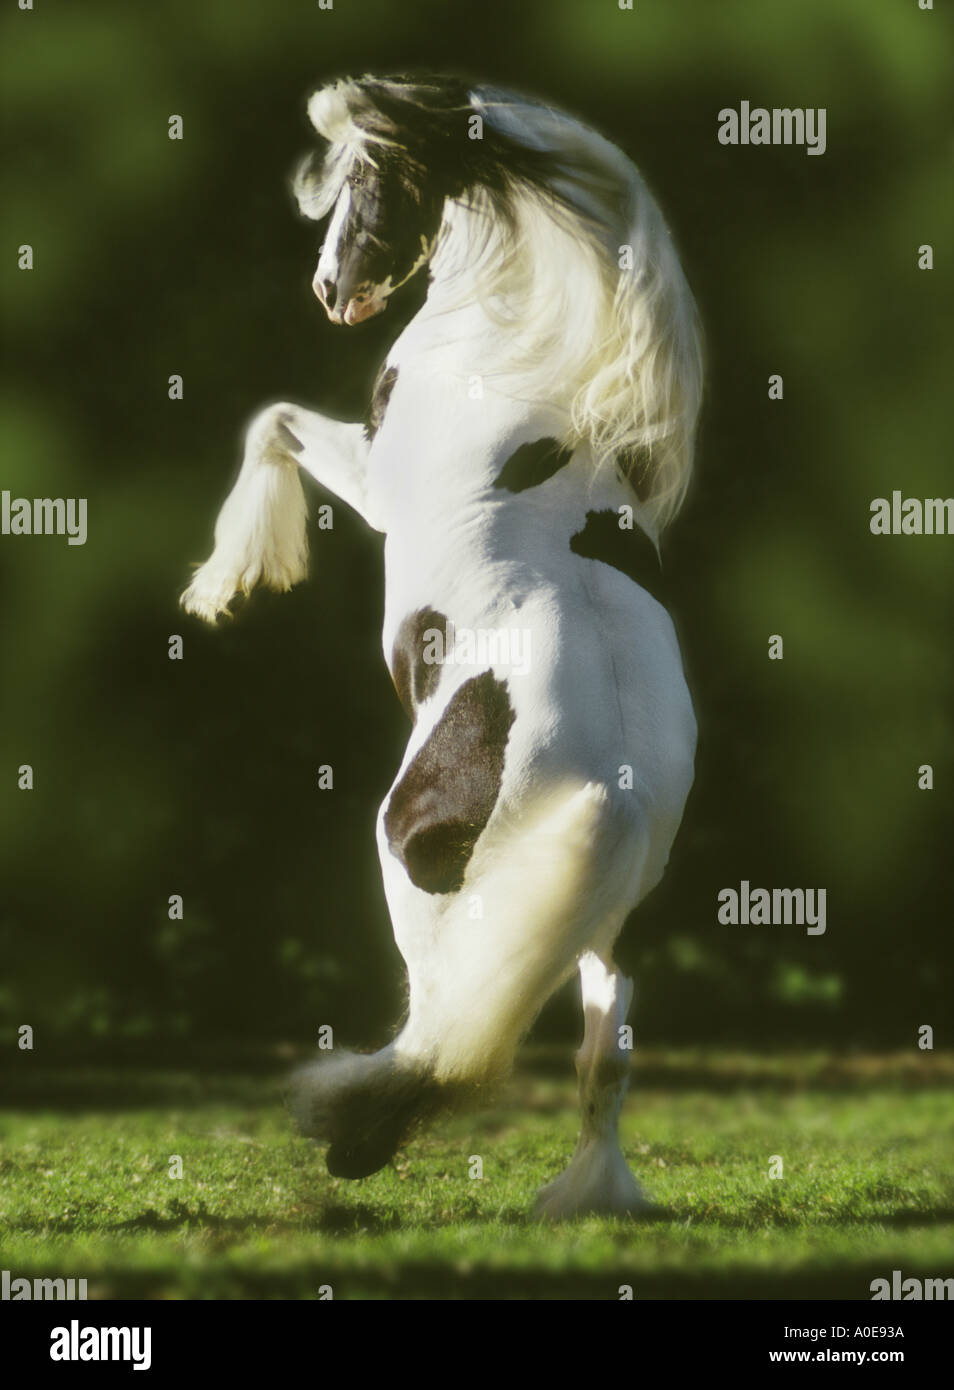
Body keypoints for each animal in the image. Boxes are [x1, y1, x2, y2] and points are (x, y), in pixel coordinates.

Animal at [180, 73, 703, 1217]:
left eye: (367, 176)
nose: (331, 290)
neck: (518, 357)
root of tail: (611, 782)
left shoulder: (374, 479)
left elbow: (273, 422)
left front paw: (225, 583)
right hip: (602, 919)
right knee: (601, 1054)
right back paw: (581, 1191)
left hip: (417, 872)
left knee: (445, 1025)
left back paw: (353, 1137)